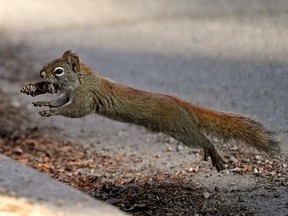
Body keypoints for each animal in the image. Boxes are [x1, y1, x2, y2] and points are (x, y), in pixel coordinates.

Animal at [20, 50, 282, 170]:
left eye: (59, 71)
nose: (41, 74)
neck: (81, 80)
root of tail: (180, 104)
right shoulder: (68, 95)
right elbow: (59, 102)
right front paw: (44, 104)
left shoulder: (85, 97)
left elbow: (74, 111)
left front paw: (51, 113)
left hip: (180, 129)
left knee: (203, 139)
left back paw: (213, 153)